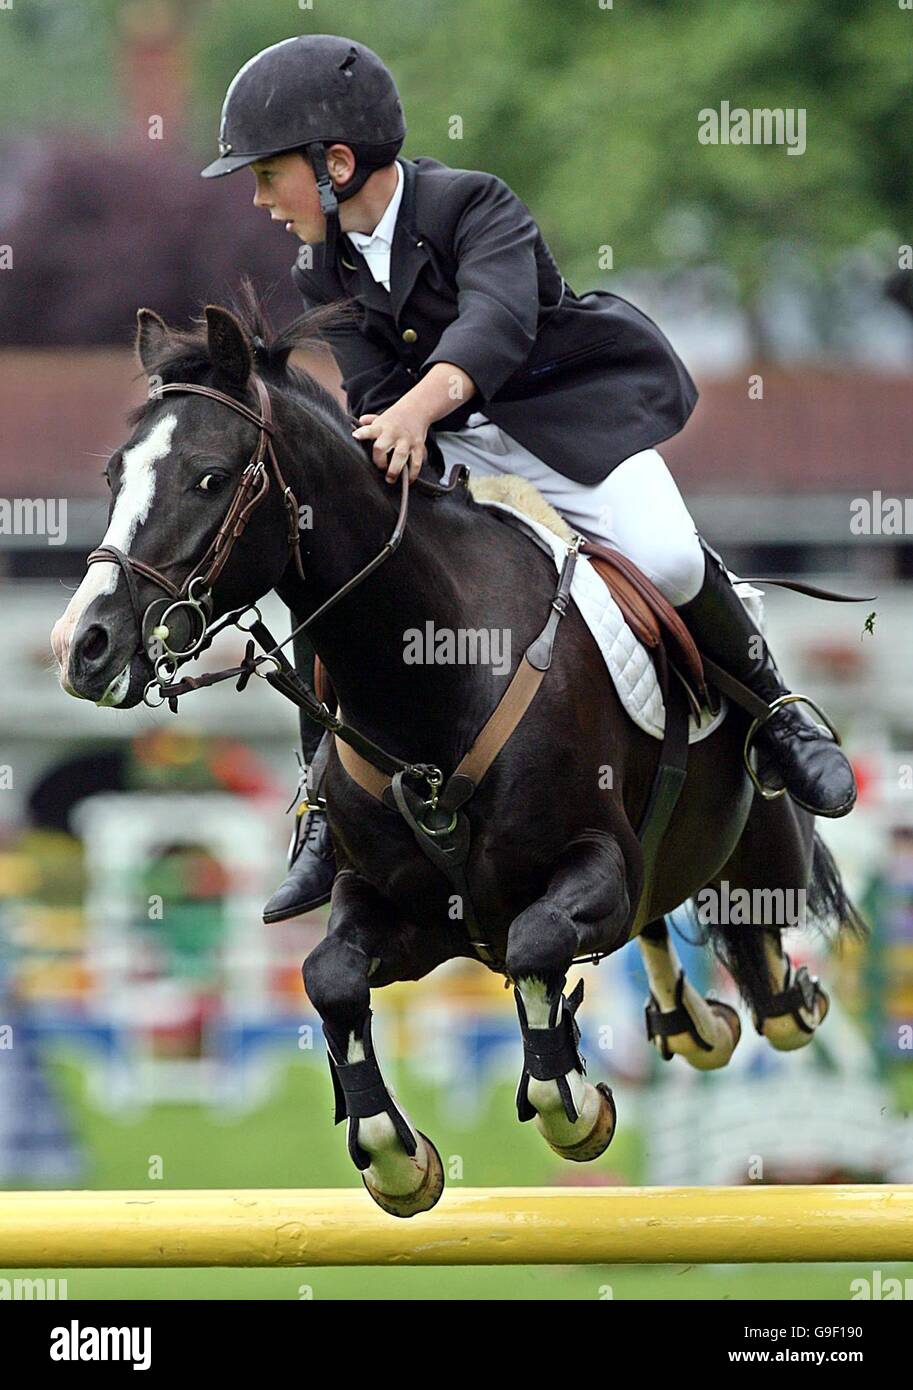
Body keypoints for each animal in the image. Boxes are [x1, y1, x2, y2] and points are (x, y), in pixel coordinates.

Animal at [51, 293, 861, 1217]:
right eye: (115, 477)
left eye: (211, 477)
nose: (83, 647)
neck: (432, 675)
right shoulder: (396, 909)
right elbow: (329, 977)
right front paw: (394, 1158)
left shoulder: (596, 866)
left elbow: (539, 944)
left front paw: (572, 1107)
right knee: (672, 940)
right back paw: (692, 1022)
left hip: (761, 856)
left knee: (764, 960)